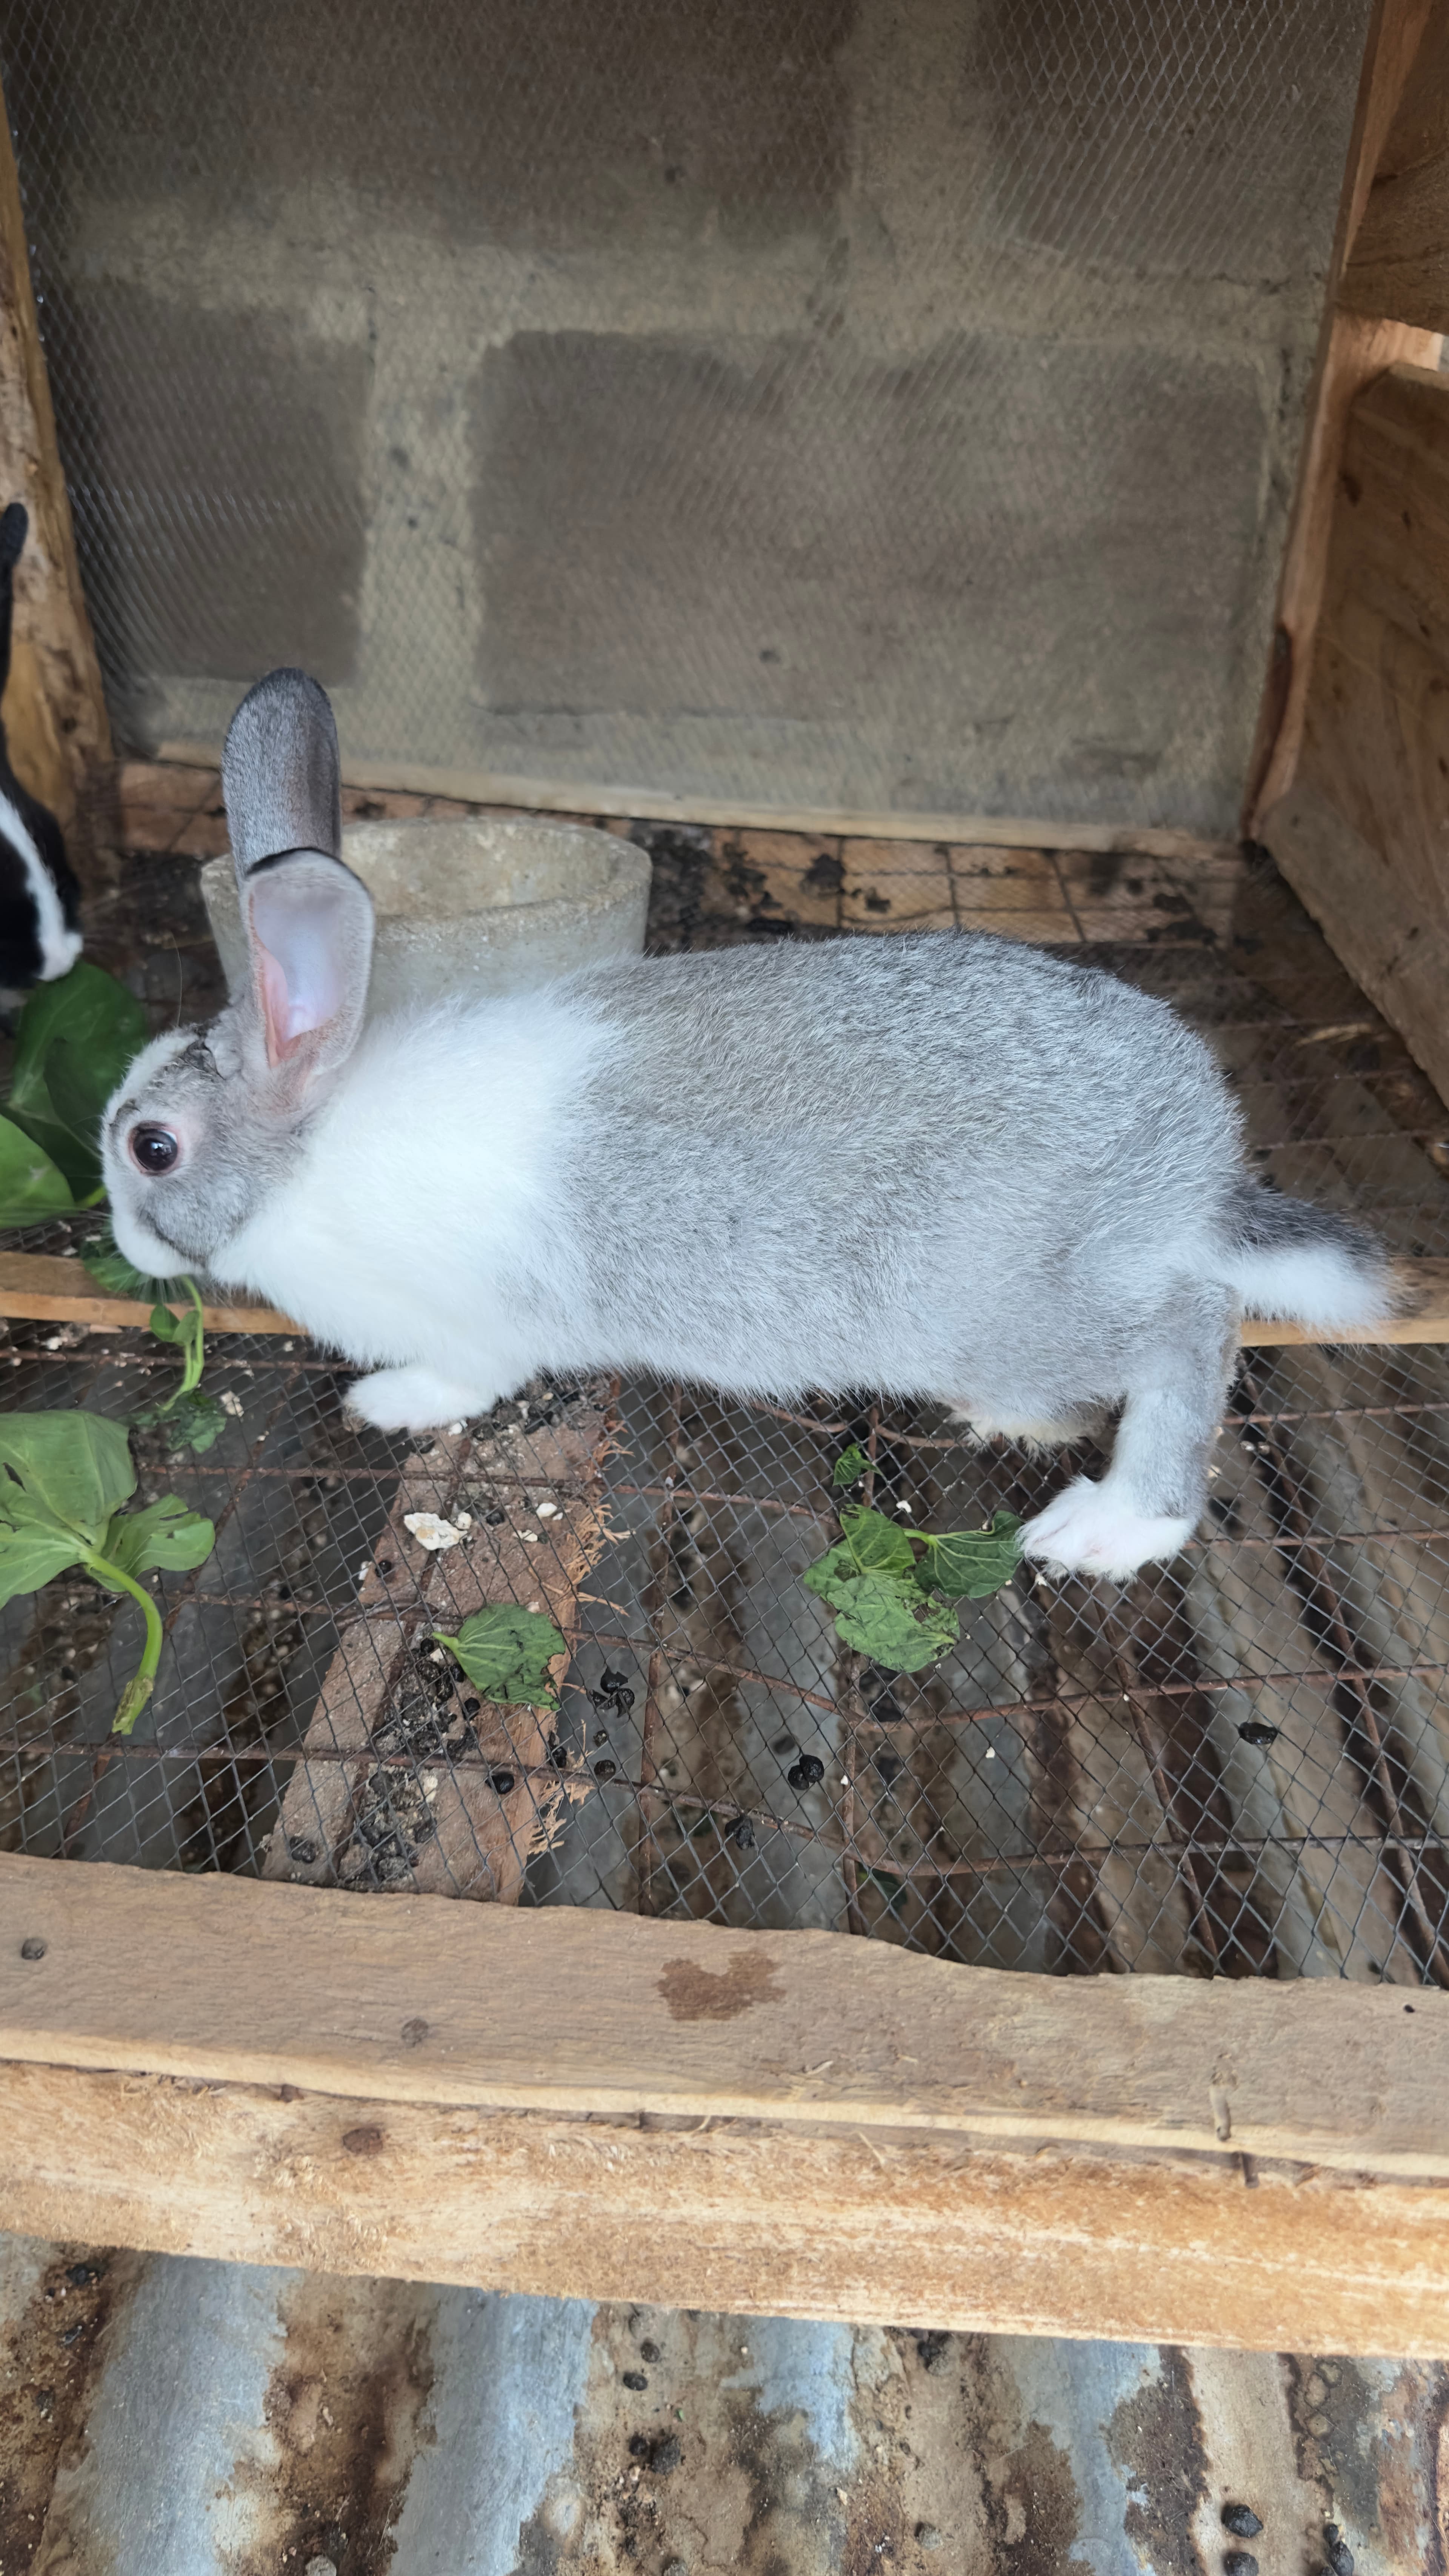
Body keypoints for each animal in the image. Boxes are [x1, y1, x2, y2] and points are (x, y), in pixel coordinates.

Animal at [101, 667, 1393, 1580]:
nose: (120, 1242)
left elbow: (464, 1379)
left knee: (1192, 1327)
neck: (302, 1154)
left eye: (150, 1147)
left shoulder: (476, 1327)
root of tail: (1197, 1159)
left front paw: (382, 1404)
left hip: (1015, 1306)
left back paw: (1111, 1527)